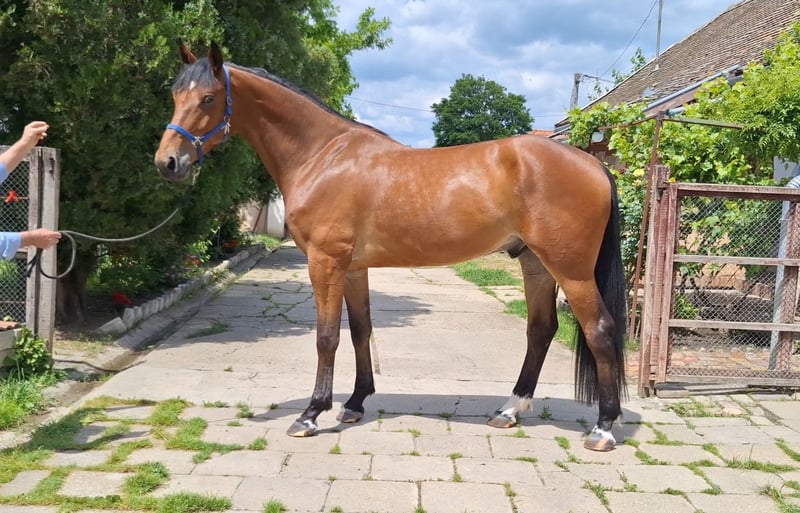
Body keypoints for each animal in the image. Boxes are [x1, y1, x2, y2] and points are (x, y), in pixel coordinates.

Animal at [154, 42, 628, 452]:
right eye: (176, 94)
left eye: (209, 98)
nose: (168, 163)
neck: (323, 156)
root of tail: (593, 163)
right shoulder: (352, 268)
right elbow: (360, 330)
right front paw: (353, 403)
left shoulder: (325, 262)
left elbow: (327, 336)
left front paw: (310, 414)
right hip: (536, 264)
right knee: (541, 330)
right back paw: (509, 410)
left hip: (571, 269)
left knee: (600, 330)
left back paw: (603, 428)